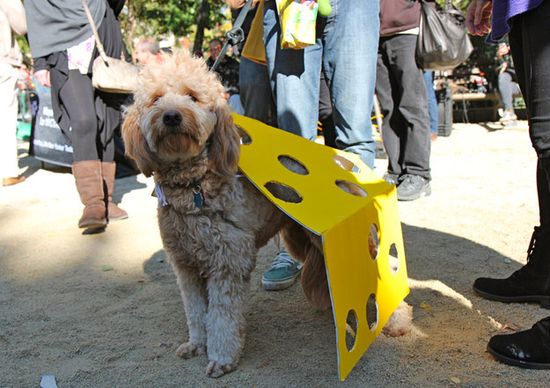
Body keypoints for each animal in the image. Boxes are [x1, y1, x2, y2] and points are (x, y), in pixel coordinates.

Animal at [122, 50, 414, 378]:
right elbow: (196, 312)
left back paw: (397, 320)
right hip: (300, 238)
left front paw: (221, 357)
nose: (171, 116)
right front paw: (196, 344)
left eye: (192, 96)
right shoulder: (186, 266)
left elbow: (221, 319)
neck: (193, 187)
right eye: (156, 99)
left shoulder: (228, 262)